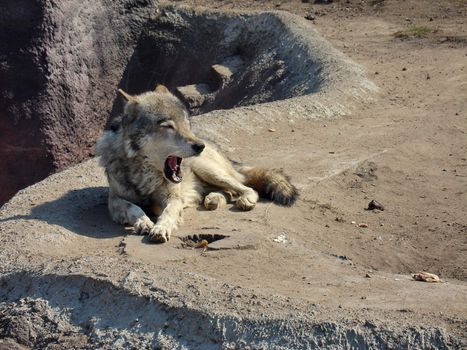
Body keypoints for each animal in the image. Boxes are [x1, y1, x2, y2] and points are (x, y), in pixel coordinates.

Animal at [96, 85, 298, 243]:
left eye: (186, 123)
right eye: (168, 126)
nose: (200, 146)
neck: (144, 175)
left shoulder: (173, 198)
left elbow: (168, 211)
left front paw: (161, 227)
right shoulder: (114, 200)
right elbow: (133, 207)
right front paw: (143, 221)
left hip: (207, 170)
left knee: (245, 188)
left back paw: (242, 200)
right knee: (227, 191)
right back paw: (213, 199)